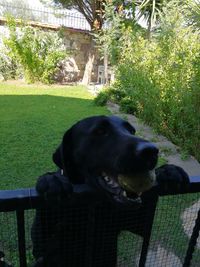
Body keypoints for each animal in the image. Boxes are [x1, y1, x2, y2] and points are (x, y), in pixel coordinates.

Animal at [31, 115, 189, 267]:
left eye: (132, 131)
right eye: (100, 131)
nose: (151, 151)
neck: (95, 208)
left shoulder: (139, 224)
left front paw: (168, 170)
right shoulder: (41, 248)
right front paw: (51, 179)